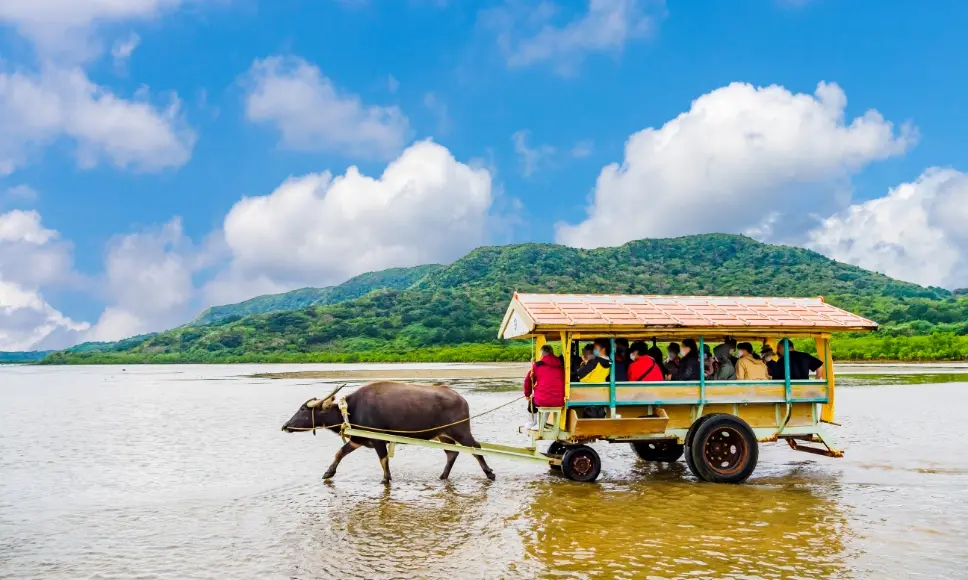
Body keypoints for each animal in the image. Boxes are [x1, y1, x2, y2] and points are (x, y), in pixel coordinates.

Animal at [278, 382, 492, 482]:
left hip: (461, 431)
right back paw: (442, 476)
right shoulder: (358, 439)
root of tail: (460, 398)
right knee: (452, 453)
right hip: (443, 435)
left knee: (476, 448)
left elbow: (383, 461)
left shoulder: (379, 441)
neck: (351, 410)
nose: (285, 426)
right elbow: (340, 453)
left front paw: (386, 480)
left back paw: (490, 473)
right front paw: (328, 473)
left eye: (303, 409)